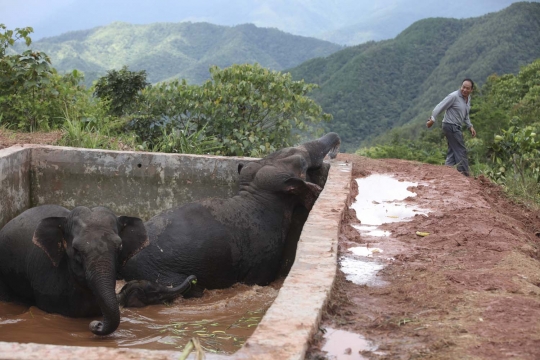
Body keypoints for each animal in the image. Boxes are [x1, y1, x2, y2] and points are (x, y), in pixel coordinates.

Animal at [119, 131, 342, 306]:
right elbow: (259, 279)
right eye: (302, 163)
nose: (335, 148)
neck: (255, 195)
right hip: (159, 272)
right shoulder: (263, 255)